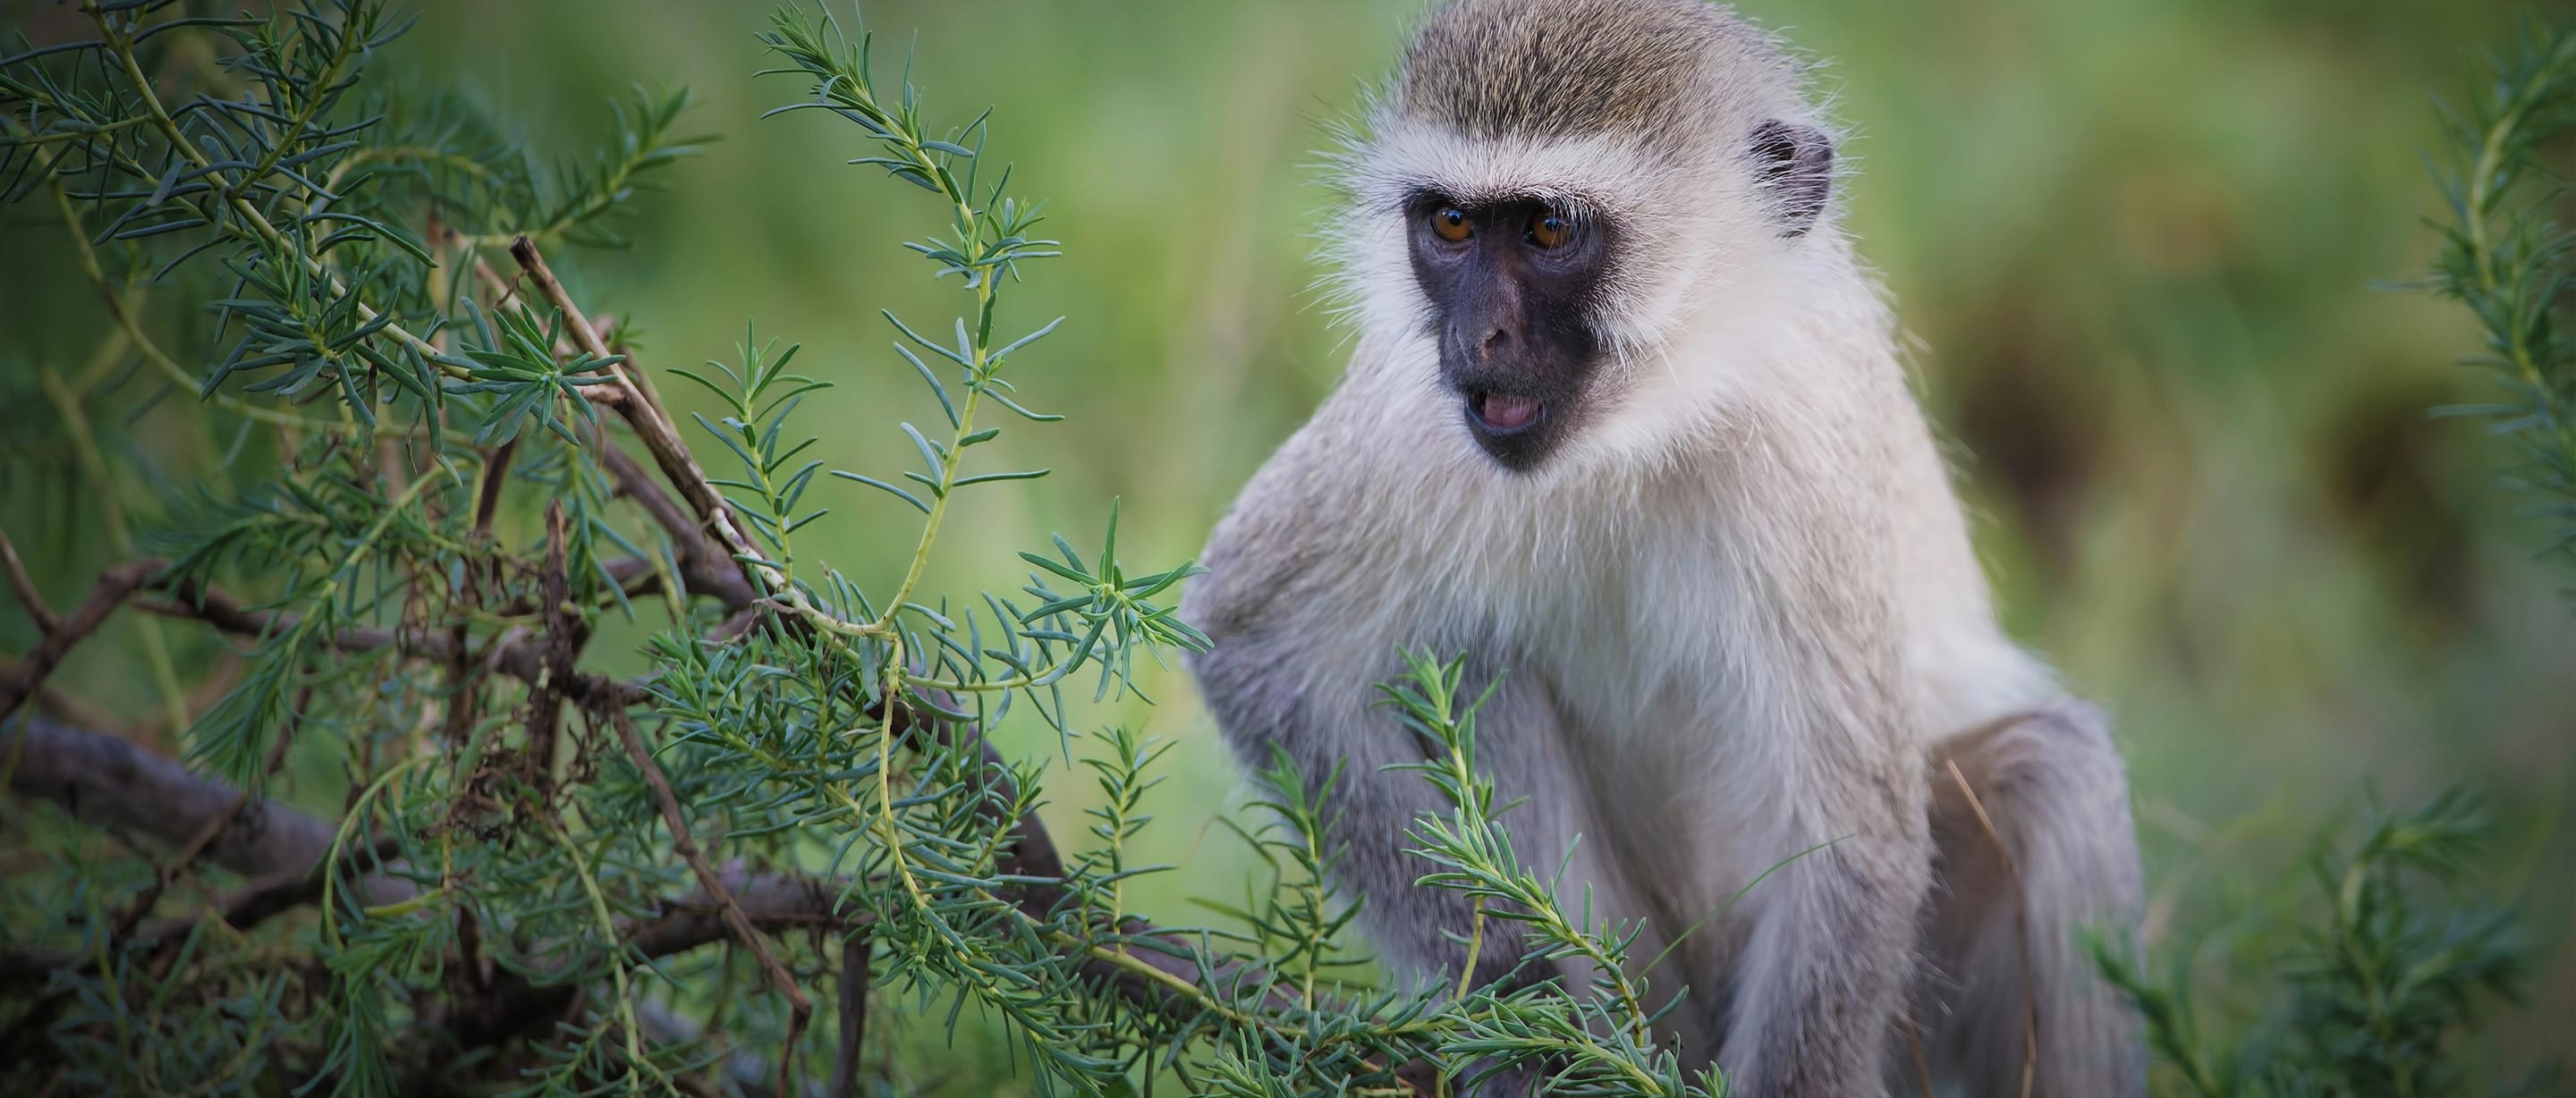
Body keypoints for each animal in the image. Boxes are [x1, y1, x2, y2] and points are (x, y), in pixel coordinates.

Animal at [1180, 0, 2145, 1095]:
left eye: (1550, 228)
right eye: (1452, 225)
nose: (1477, 339)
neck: (1642, 434)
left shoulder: (1804, 458)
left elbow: (1852, 837)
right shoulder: (1411, 418)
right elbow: (1254, 639)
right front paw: (1518, 1014)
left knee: (2055, 766)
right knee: (1474, 651)